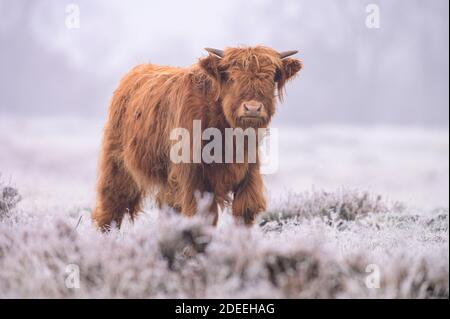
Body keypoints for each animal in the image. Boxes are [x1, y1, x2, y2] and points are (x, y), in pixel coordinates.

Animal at [91, 45, 302, 230]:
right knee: (112, 205)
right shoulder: (194, 177)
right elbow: (203, 217)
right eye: (232, 78)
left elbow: (245, 212)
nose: (252, 108)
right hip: (118, 164)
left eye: (271, 78)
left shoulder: (249, 173)